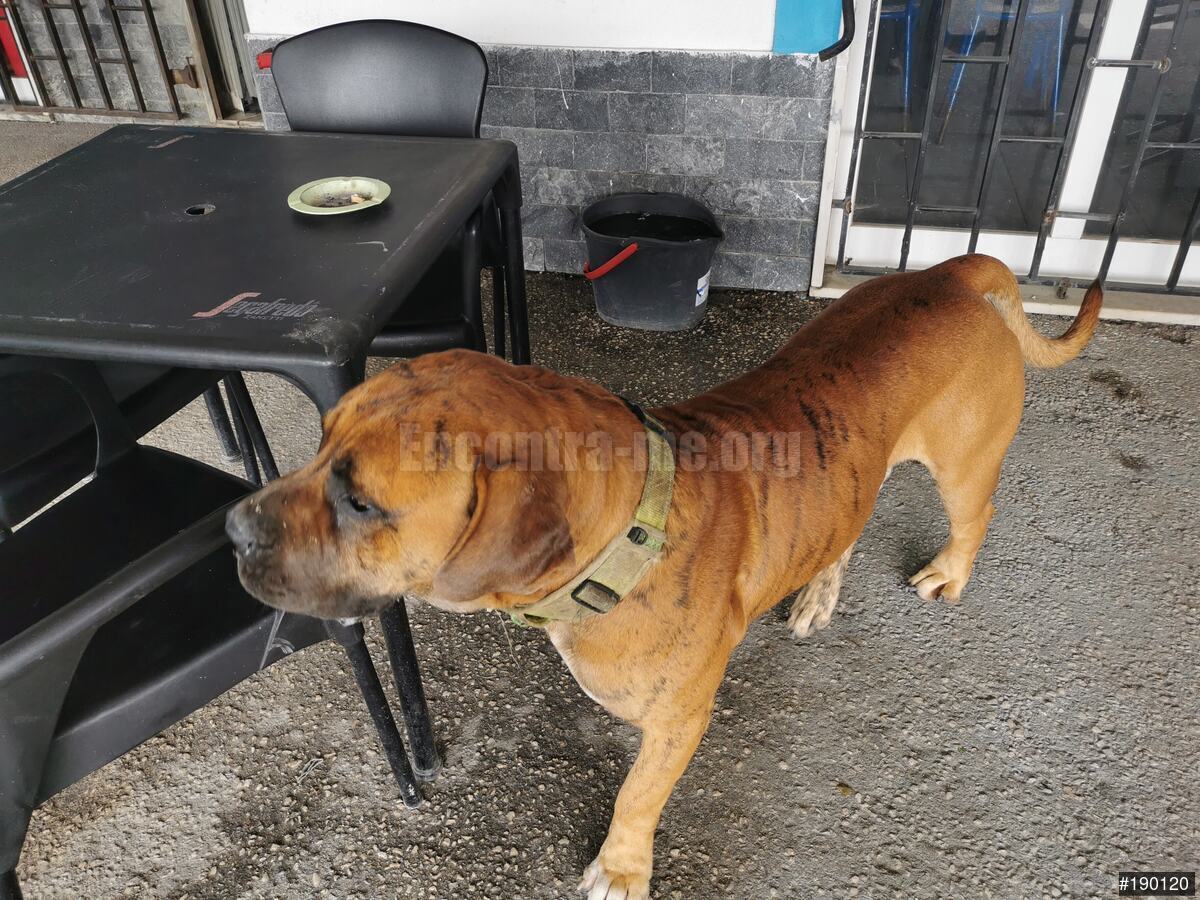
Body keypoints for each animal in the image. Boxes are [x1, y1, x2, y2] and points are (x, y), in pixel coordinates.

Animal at [227, 254, 1101, 899]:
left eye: (361, 501)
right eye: (319, 439)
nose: (232, 528)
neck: (628, 537)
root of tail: (952, 273)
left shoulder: (682, 720)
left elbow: (638, 793)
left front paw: (621, 869)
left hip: (965, 465)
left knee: (974, 514)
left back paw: (949, 572)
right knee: (845, 535)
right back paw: (817, 597)